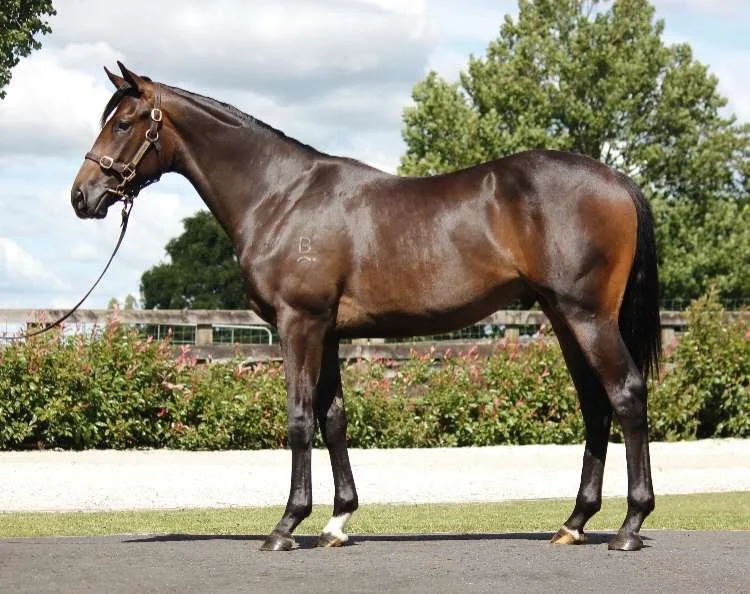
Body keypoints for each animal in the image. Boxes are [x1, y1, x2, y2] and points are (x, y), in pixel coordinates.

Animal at [72, 63, 661, 552]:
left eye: (123, 123)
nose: (82, 197)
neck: (280, 196)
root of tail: (618, 180)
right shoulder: (328, 332)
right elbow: (333, 419)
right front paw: (337, 522)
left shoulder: (299, 324)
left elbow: (299, 418)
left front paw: (286, 526)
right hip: (564, 319)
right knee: (595, 405)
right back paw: (574, 523)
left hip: (586, 317)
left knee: (626, 394)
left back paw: (630, 526)